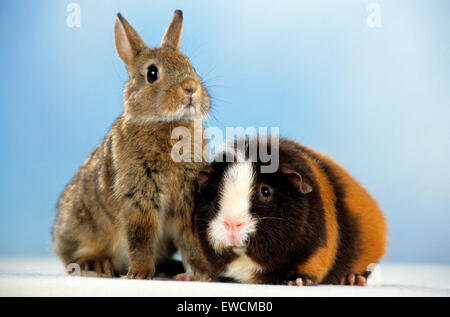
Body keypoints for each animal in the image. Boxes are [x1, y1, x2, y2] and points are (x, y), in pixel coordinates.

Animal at [51, 9, 214, 278]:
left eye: (190, 64)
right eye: (152, 73)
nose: (190, 88)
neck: (166, 124)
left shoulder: (187, 199)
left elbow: (189, 238)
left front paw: (205, 274)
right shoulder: (139, 193)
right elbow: (141, 236)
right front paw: (139, 272)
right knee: (70, 256)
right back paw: (95, 264)